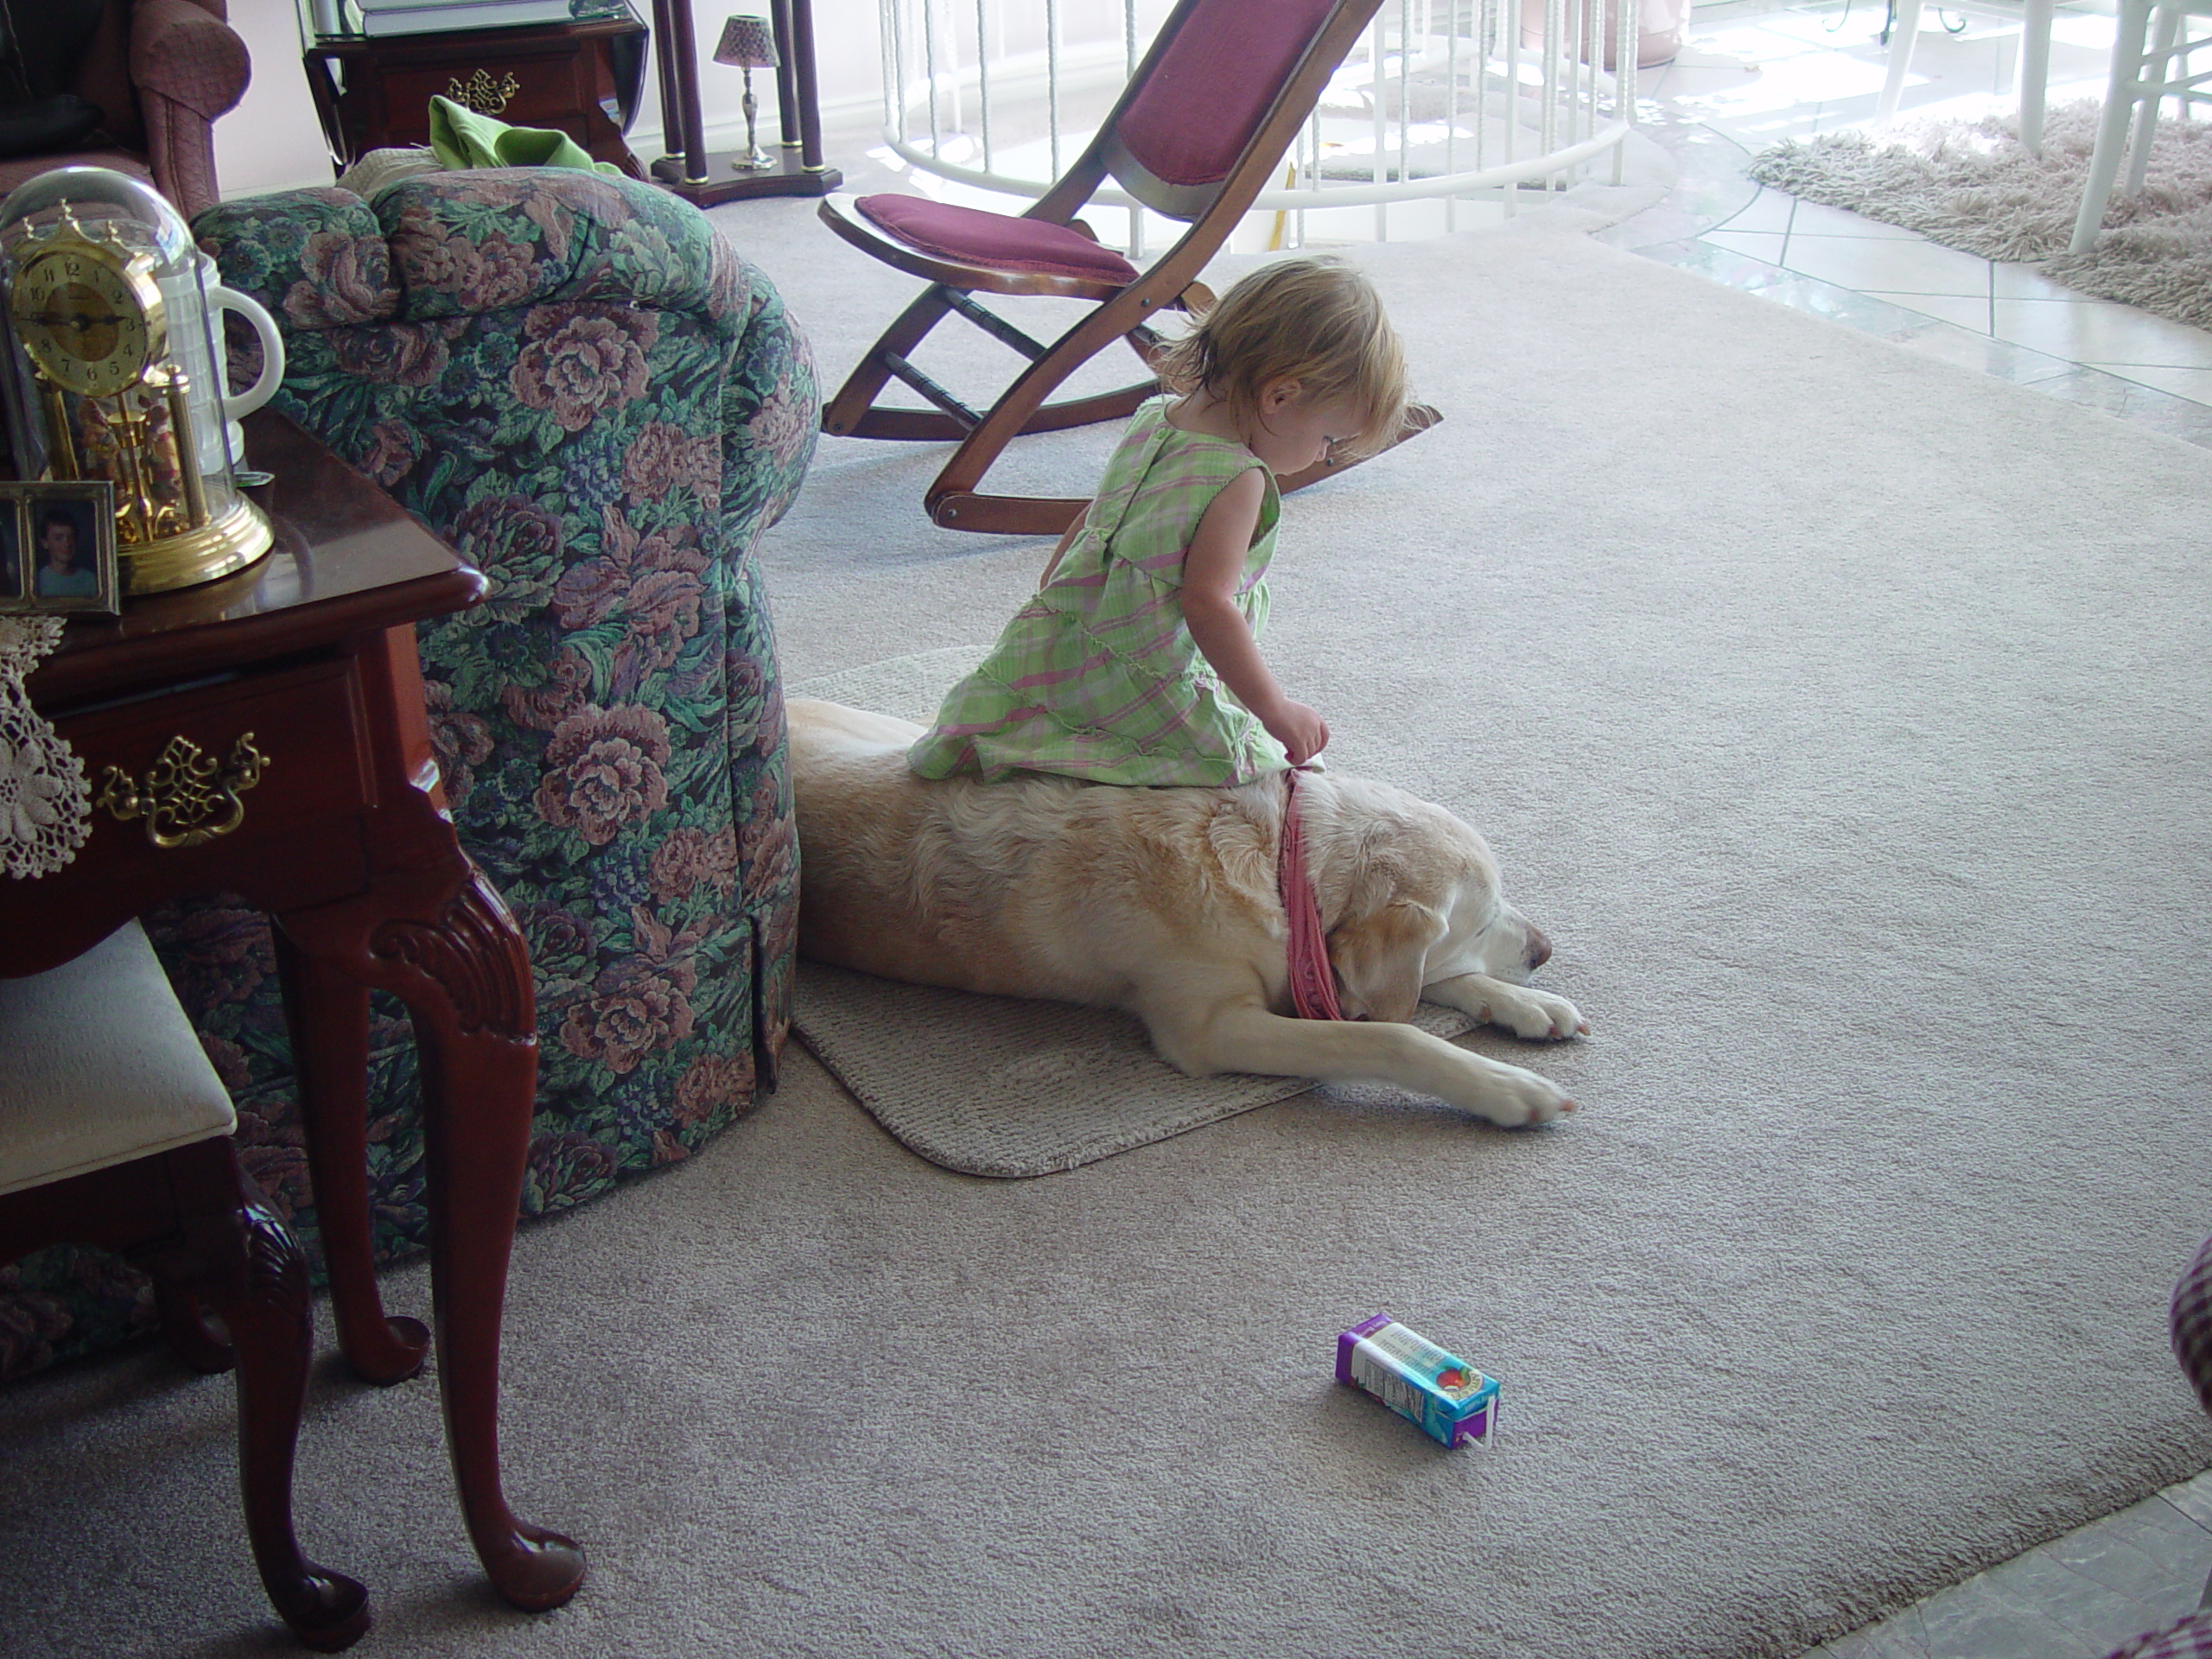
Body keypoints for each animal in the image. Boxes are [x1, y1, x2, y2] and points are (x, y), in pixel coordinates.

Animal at [796, 703, 1592, 1132]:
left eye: (1498, 905)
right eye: (1481, 920)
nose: (1546, 949)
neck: (1281, 871)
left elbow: (1425, 983)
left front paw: (1527, 1005)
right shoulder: (1213, 1027)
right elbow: (1391, 1033)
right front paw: (1506, 1089)